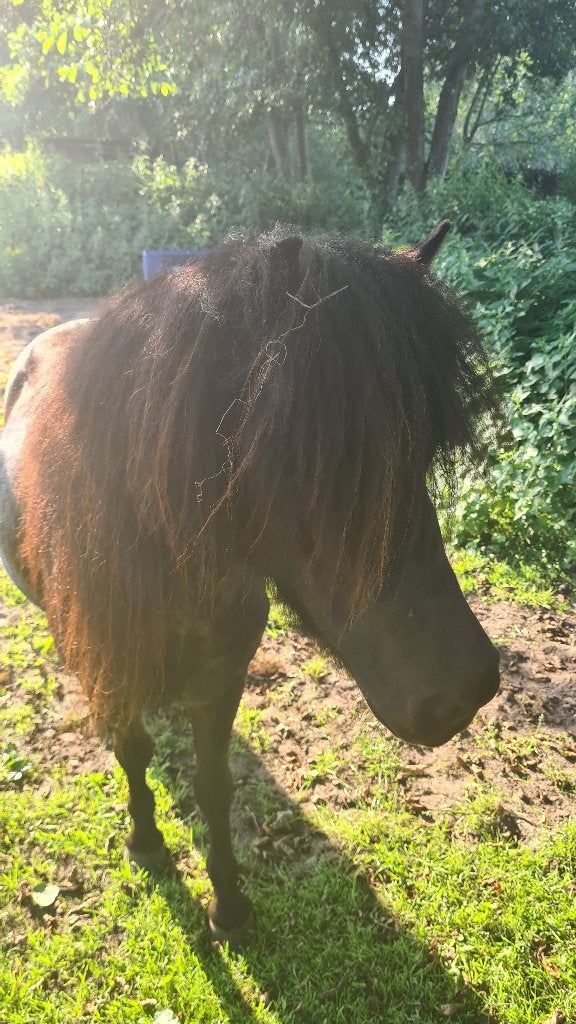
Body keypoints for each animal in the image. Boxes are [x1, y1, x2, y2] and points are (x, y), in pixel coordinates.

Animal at [0, 224, 500, 946]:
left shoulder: (221, 676)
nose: (466, 688)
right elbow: (132, 751)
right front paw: (146, 842)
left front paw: (230, 906)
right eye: (308, 457)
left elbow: (214, 786)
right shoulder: (110, 670)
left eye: (424, 449)